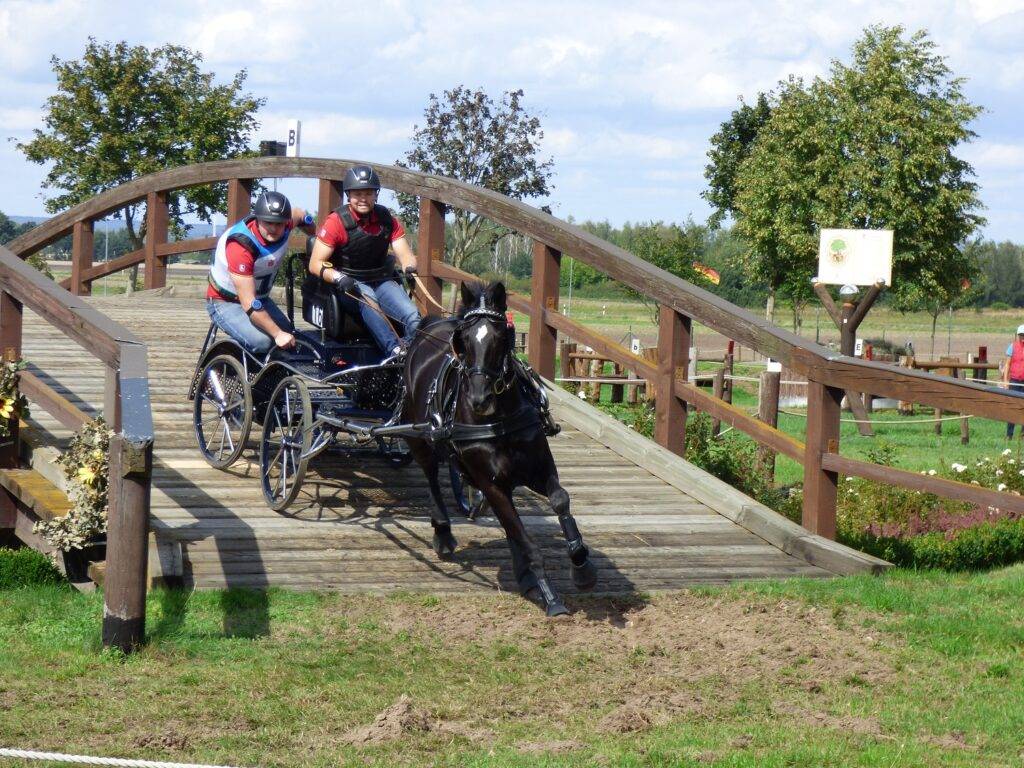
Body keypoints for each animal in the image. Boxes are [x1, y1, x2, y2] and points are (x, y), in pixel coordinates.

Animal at [401, 280, 598, 618]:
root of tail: (430, 326)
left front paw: (581, 565)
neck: (499, 419)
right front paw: (550, 597)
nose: (479, 399)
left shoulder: (539, 468)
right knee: (431, 476)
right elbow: (526, 540)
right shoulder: (490, 483)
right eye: (464, 341)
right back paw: (443, 532)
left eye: (500, 337)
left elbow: (559, 501)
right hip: (419, 438)